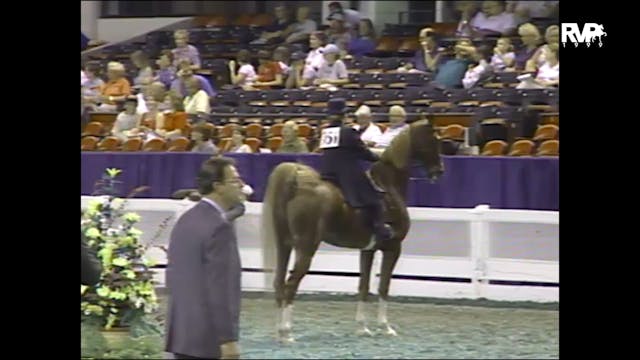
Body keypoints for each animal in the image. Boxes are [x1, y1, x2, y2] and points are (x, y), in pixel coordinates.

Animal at [262, 119, 442, 342]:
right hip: (306, 247)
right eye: (433, 140)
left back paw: (279, 332)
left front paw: (362, 327)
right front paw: (385, 327)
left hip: (284, 244)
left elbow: (363, 286)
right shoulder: (393, 248)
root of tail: (296, 182)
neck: (388, 187)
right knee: (290, 285)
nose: (439, 171)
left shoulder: (368, 250)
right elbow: (383, 287)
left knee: (279, 283)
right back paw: (287, 333)